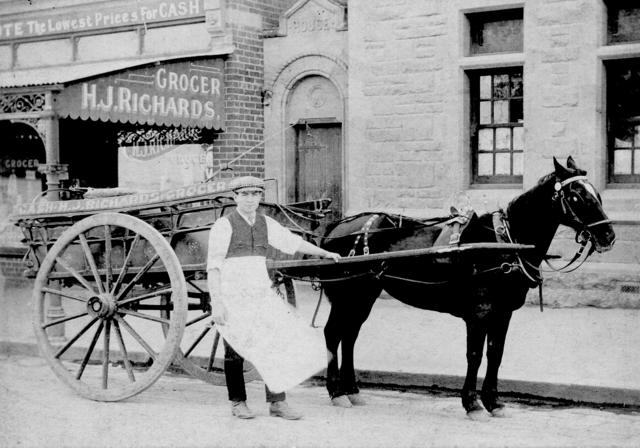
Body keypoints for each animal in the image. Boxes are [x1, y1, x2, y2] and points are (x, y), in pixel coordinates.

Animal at [320, 156, 616, 418]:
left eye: (596, 194)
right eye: (576, 196)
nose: (608, 236)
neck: (504, 243)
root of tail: (338, 226)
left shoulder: (503, 313)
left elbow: (495, 354)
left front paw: (493, 402)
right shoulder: (480, 313)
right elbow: (474, 355)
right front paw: (472, 404)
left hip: (363, 296)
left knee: (349, 335)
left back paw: (352, 390)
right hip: (347, 294)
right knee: (333, 334)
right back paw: (337, 392)